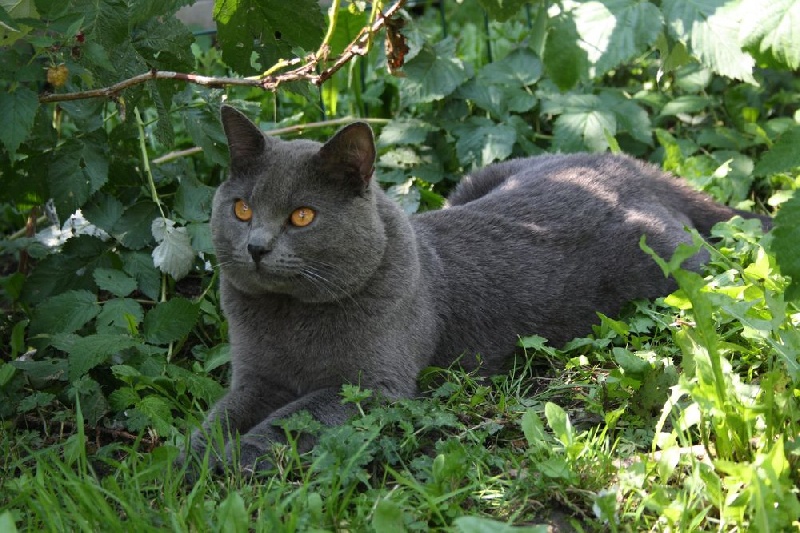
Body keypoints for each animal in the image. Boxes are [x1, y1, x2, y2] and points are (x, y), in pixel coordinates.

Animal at [184, 106, 772, 472]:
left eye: (303, 216)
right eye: (241, 209)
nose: (256, 245)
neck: (288, 319)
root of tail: (630, 165)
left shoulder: (372, 390)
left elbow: (286, 423)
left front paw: (219, 467)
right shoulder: (255, 376)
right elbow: (221, 416)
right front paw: (183, 462)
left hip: (672, 268)